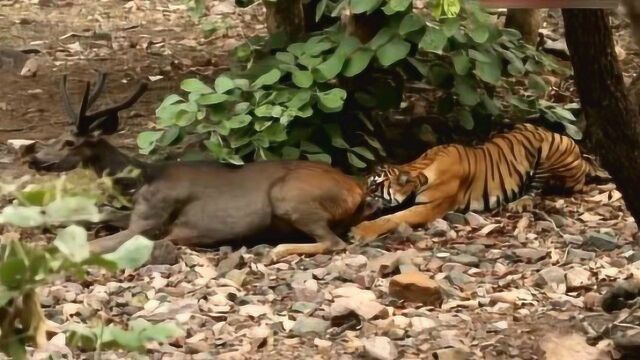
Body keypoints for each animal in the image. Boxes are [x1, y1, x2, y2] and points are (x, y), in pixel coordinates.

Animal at [26, 72, 376, 264]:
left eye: (70, 143)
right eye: (58, 135)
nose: (34, 158)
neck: (141, 180)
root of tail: (357, 189)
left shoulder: (150, 221)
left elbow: (91, 244)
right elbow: (99, 213)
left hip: (289, 195)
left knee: (335, 242)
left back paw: (275, 251)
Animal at [350, 122, 608, 243]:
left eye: (374, 187)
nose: (360, 199)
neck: (419, 167)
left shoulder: (428, 208)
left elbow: (392, 218)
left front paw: (361, 230)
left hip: (549, 150)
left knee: (539, 189)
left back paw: (519, 203)